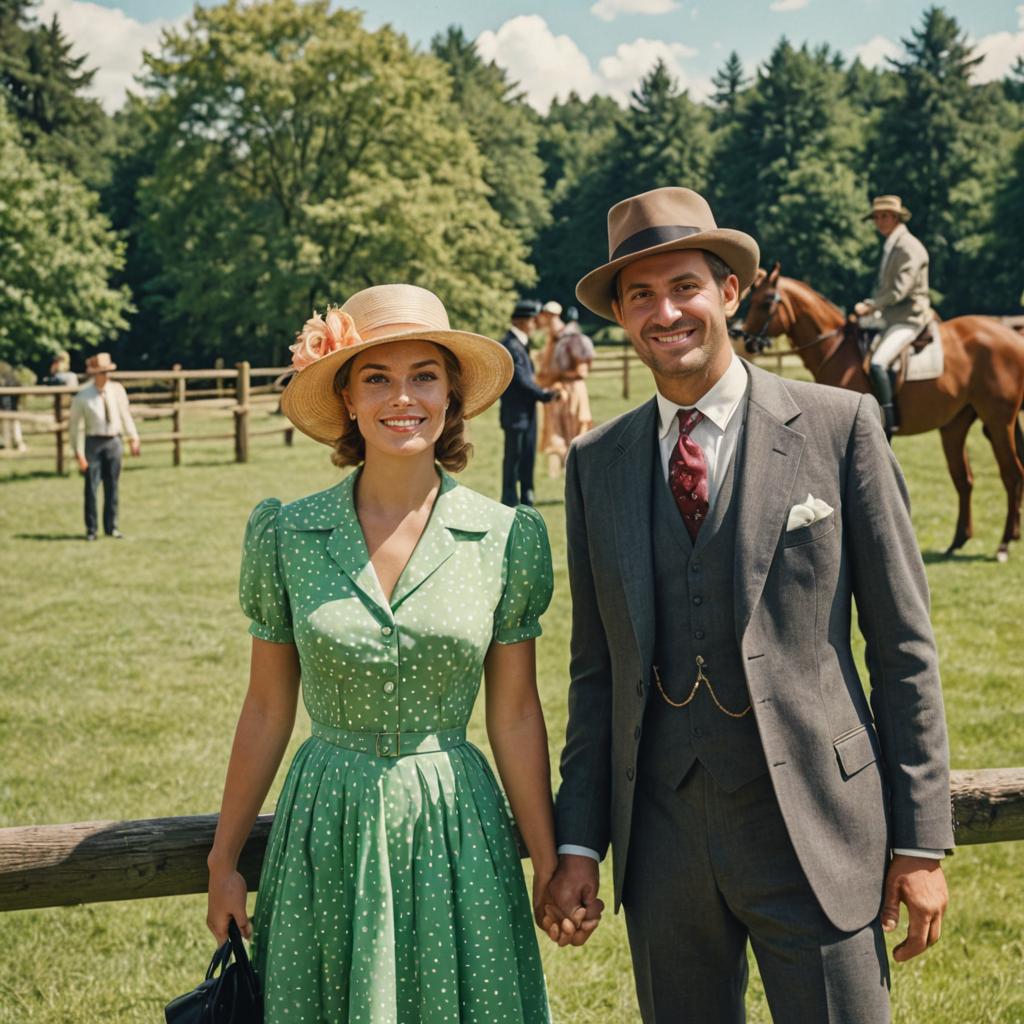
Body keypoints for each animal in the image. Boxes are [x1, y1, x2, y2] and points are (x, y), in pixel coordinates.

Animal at [737, 264, 1024, 561]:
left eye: (766, 302)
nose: (745, 339)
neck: (837, 350)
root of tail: (1012, 335)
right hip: (955, 426)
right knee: (964, 479)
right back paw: (960, 541)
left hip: (999, 421)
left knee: (1012, 474)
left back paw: (1003, 544)